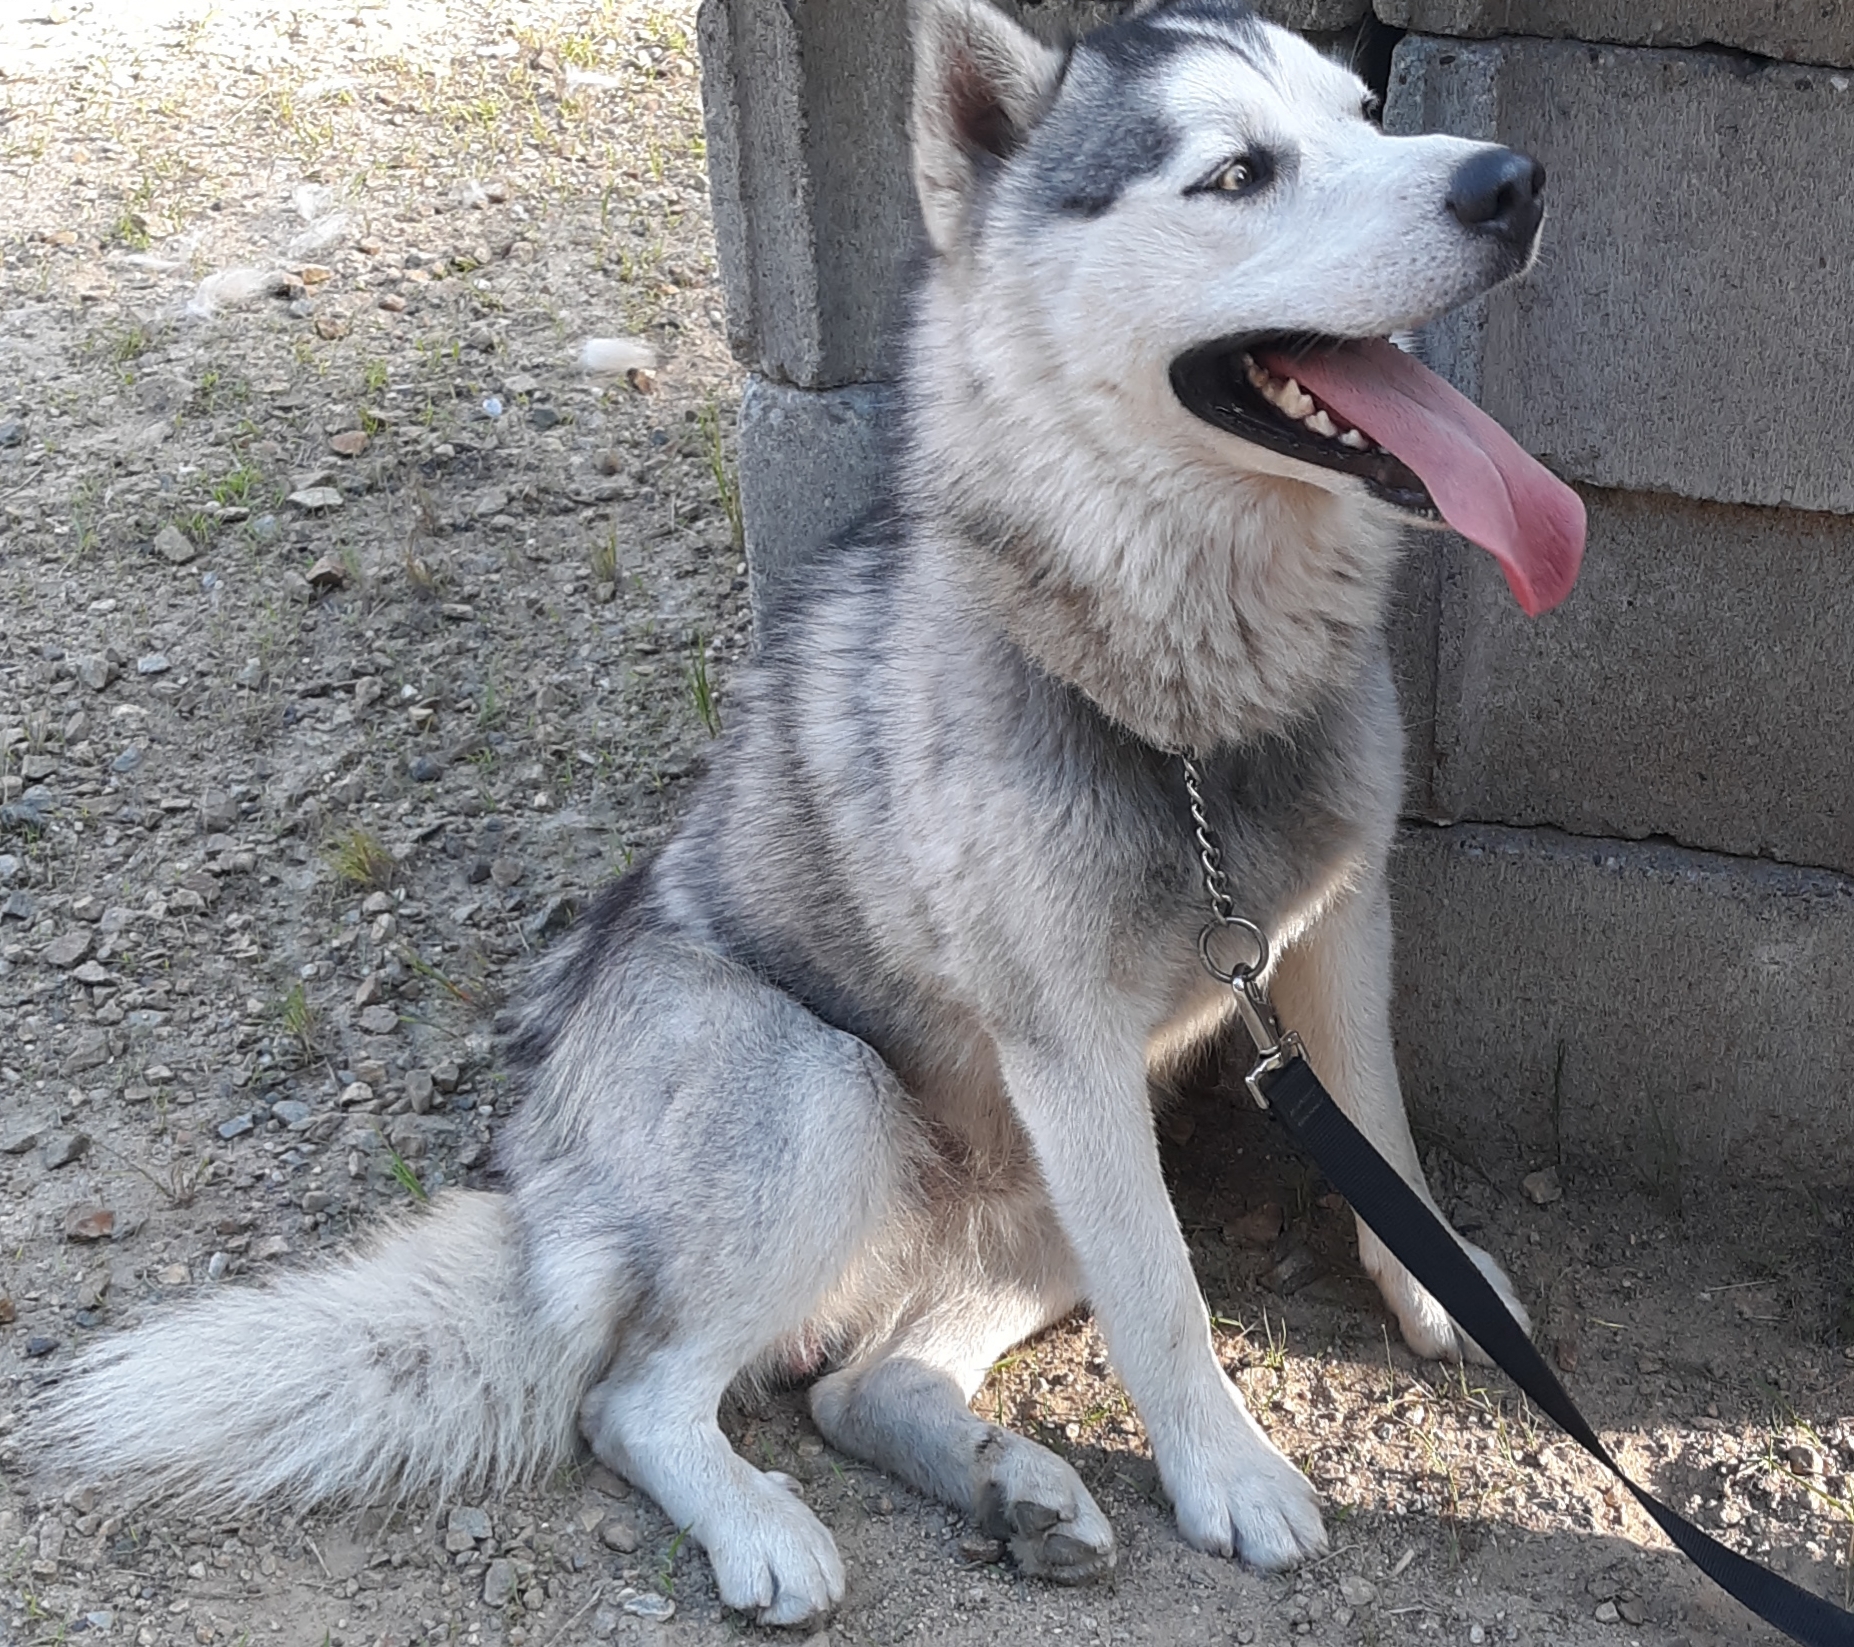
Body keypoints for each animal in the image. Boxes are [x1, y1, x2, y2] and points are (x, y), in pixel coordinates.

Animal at [39, 0, 1579, 1624]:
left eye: (1367, 113)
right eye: (1237, 172)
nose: (1508, 182)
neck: (1185, 708)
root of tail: (548, 1189)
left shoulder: (1335, 928)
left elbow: (1384, 1141)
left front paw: (1445, 1291)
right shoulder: (1069, 1046)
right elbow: (1168, 1301)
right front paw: (1225, 1472)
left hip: (1040, 1204)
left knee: (855, 1382)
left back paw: (1014, 1486)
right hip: (841, 1099)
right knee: (635, 1396)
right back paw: (766, 1526)